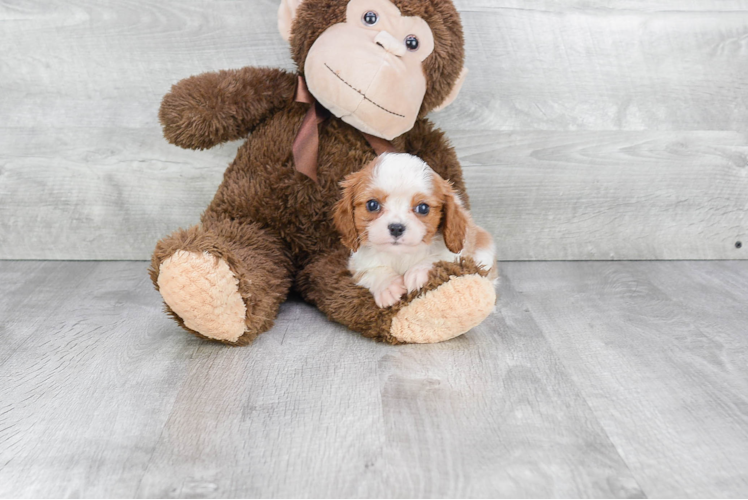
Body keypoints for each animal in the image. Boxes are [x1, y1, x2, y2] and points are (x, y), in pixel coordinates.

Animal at [334, 153, 496, 308]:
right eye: (372, 205)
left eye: (423, 208)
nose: (396, 228)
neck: (400, 255)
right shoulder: (357, 264)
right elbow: (372, 271)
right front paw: (387, 286)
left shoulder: (456, 252)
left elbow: (439, 257)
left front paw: (419, 272)